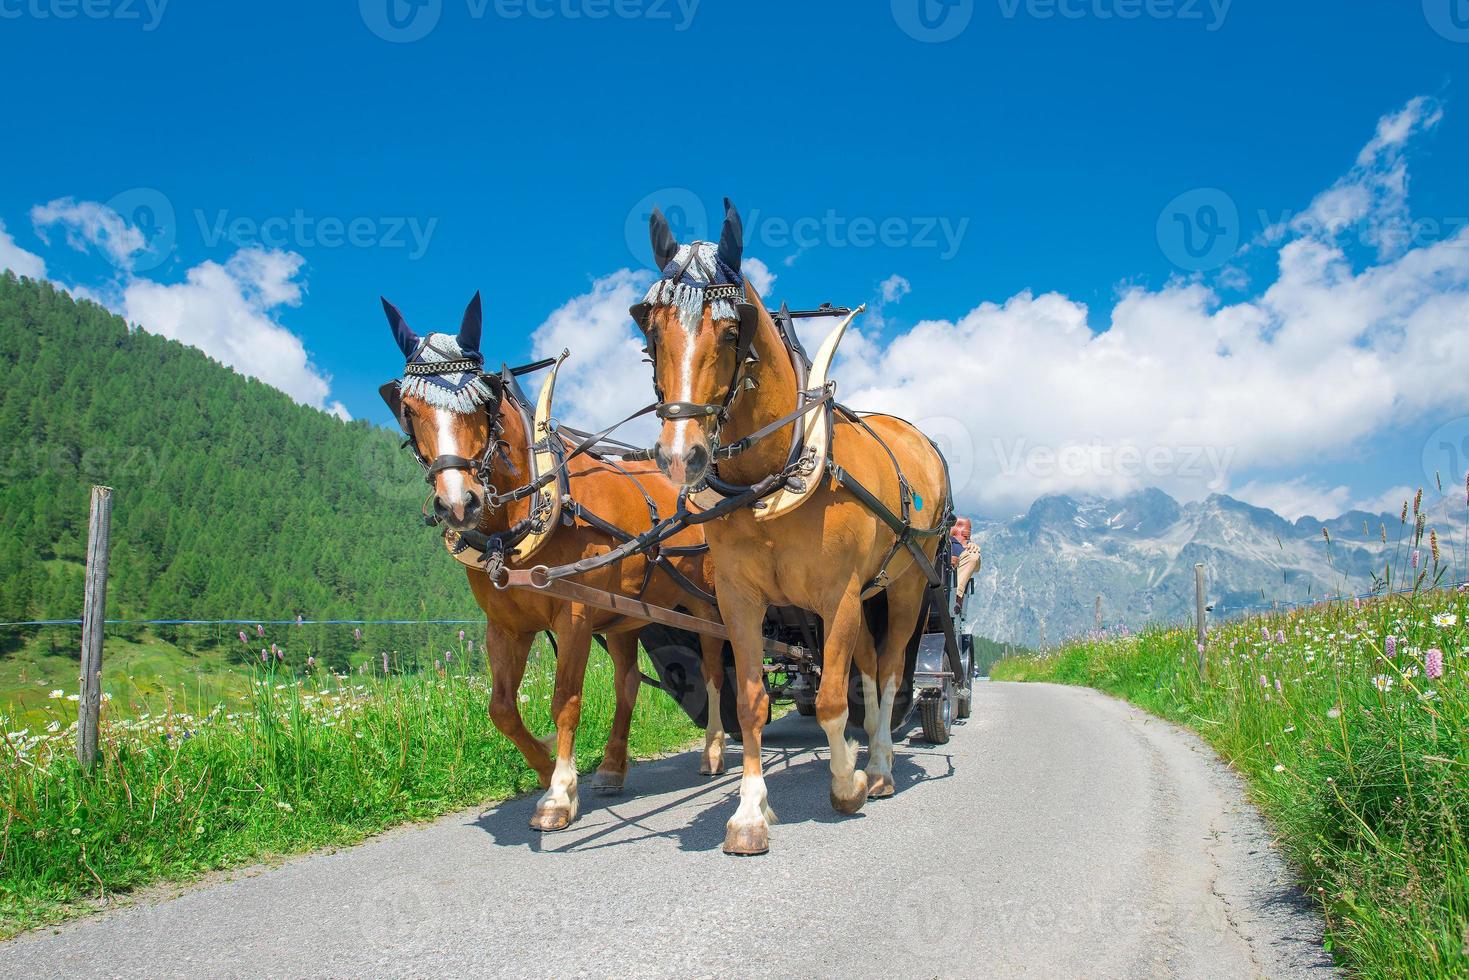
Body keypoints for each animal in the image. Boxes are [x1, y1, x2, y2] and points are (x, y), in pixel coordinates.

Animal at [379, 295, 722, 834]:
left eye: (483, 403)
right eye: (410, 410)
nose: (459, 504)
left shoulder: (574, 616)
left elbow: (565, 701)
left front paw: (560, 792)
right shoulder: (507, 626)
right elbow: (500, 708)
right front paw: (543, 767)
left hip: (705, 604)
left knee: (714, 668)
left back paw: (712, 750)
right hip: (624, 616)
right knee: (627, 684)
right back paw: (612, 766)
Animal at [631, 202, 951, 852]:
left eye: (733, 331)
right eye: (650, 332)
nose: (681, 456)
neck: (774, 478)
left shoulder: (838, 595)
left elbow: (829, 700)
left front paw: (847, 783)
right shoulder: (741, 601)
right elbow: (754, 700)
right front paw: (750, 811)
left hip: (905, 586)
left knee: (888, 670)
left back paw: (880, 766)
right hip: (865, 599)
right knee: (869, 670)